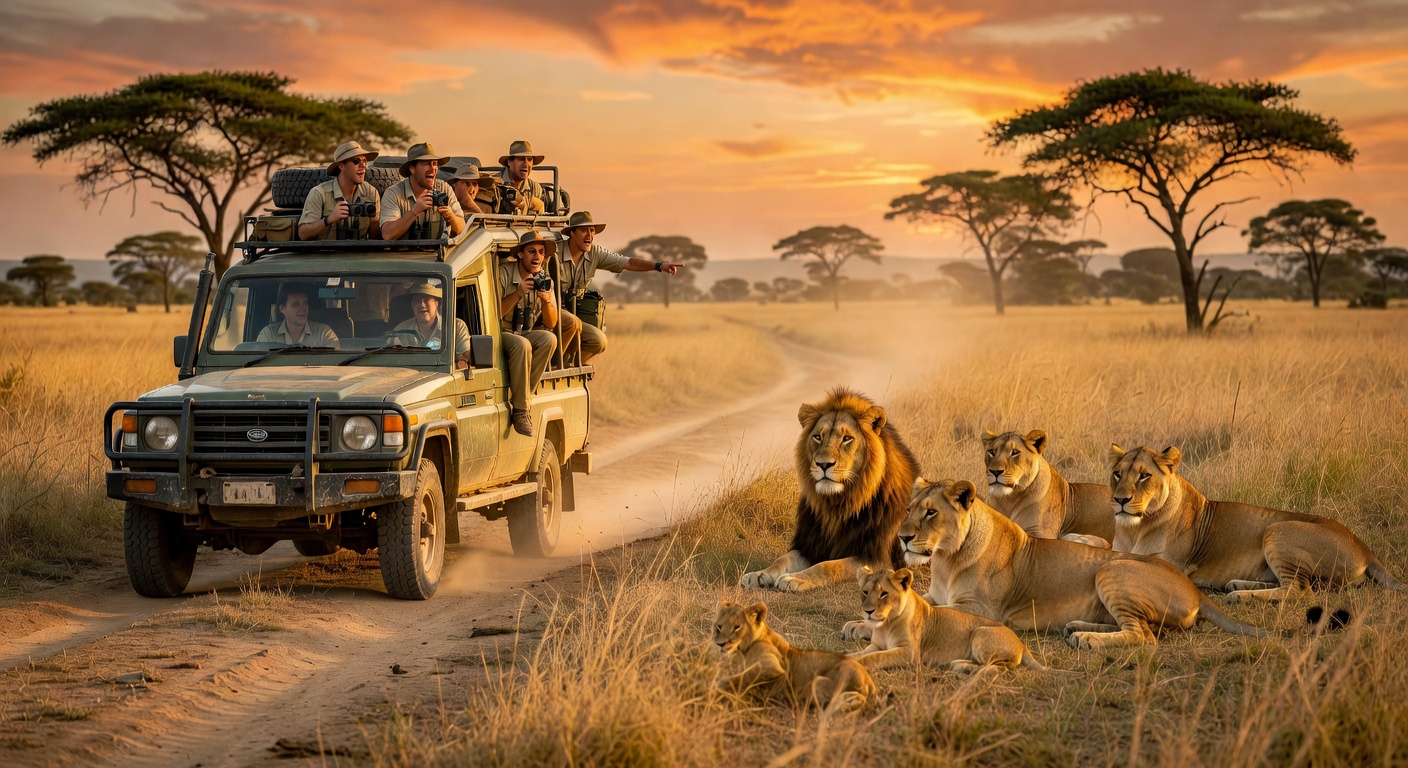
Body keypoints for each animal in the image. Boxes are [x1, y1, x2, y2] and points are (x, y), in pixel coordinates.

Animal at [713, 600, 875, 714]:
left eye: (737, 627)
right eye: (719, 626)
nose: (720, 644)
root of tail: (869, 681)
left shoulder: (772, 667)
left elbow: (737, 679)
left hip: (818, 682)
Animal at [740, 388, 919, 593]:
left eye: (847, 438)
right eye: (818, 437)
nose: (823, 464)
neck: (838, 504)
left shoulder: (878, 560)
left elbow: (827, 565)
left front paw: (793, 578)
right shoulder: (809, 546)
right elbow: (782, 559)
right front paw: (758, 574)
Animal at [841, 567, 1060, 673]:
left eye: (884, 594)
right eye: (865, 592)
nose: (868, 611)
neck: (885, 625)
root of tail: (1021, 644)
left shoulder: (909, 652)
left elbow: (875, 658)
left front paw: (860, 664)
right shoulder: (876, 645)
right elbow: (861, 653)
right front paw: (848, 657)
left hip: (980, 632)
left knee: (1000, 669)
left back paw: (965, 668)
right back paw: (960, 664)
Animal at [898, 478, 1269, 650]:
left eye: (931, 512)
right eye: (908, 509)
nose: (902, 537)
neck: (945, 559)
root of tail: (1196, 590)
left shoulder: (984, 610)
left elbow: (941, 614)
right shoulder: (936, 594)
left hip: (1111, 569)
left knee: (1144, 636)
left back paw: (1086, 639)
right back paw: (1075, 628)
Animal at [1108, 445, 1406, 602]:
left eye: (1144, 476)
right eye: (1117, 474)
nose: (1120, 499)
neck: (1134, 529)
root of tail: (1366, 549)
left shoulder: (1170, 564)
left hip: (1278, 529)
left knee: (1298, 589)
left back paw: (1240, 596)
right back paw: (1236, 585)